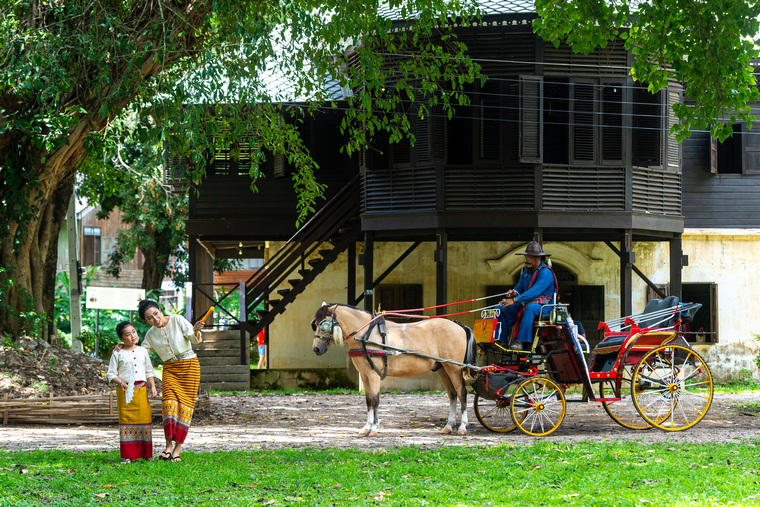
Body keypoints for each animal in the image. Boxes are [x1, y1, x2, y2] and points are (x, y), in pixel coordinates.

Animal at [312, 304, 472, 438]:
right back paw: (448, 426)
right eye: (314, 324)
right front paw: (366, 427)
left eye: (323, 324)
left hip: (454, 368)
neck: (365, 334)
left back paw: (462, 427)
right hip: (443, 369)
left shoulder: (373, 375)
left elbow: (375, 400)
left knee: (462, 393)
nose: (316, 349)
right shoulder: (364, 375)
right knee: (452, 395)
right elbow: (368, 401)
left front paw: (374, 428)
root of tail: (459, 326)